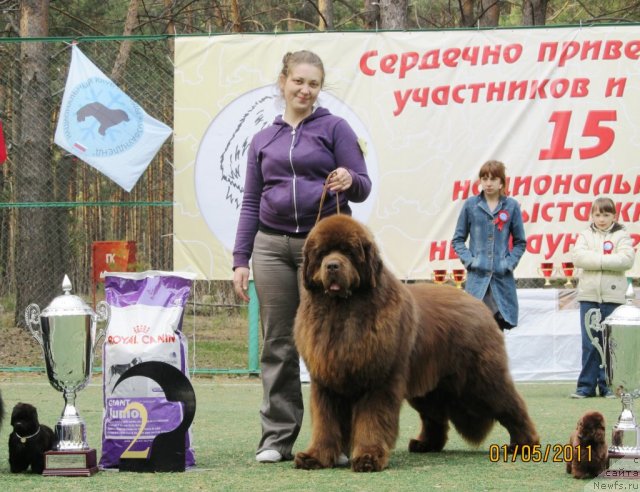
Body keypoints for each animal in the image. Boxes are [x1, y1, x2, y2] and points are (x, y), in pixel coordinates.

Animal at [296, 215, 540, 472]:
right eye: (322, 253)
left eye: (349, 252)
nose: (332, 265)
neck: (342, 311)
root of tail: (477, 303)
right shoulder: (326, 381)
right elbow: (325, 423)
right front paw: (315, 456)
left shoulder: (379, 380)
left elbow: (372, 419)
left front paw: (369, 457)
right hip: (429, 385)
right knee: (435, 417)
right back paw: (426, 444)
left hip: (481, 379)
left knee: (511, 405)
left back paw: (525, 443)